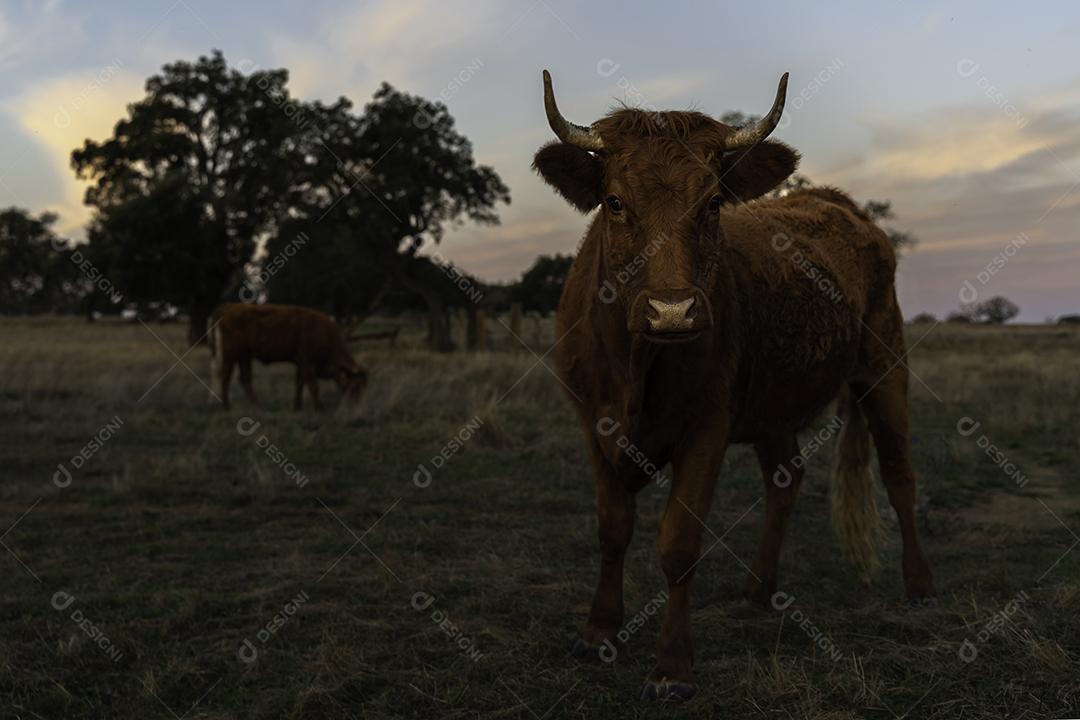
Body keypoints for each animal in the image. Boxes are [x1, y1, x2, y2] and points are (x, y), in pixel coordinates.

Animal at [209, 303, 367, 410]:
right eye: (355, 385)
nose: (355, 404)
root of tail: (229, 307)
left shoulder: (300, 364)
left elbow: (299, 384)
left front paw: (297, 407)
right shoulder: (307, 363)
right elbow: (313, 386)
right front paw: (319, 408)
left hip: (244, 357)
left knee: (245, 379)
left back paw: (258, 406)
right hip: (231, 356)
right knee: (226, 377)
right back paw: (227, 406)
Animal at [533, 70, 934, 701]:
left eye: (714, 202)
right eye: (615, 202)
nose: (672, 310)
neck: (636, 363)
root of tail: (837, 203)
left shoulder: (708, 426)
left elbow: (678, 543)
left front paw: (672, 665)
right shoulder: (592, 421)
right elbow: (612, 529)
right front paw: (598, 630)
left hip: (885, 367)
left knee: (899, 475)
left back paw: (918, 585)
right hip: (774, 406)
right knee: (786, 479)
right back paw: (758, 587)